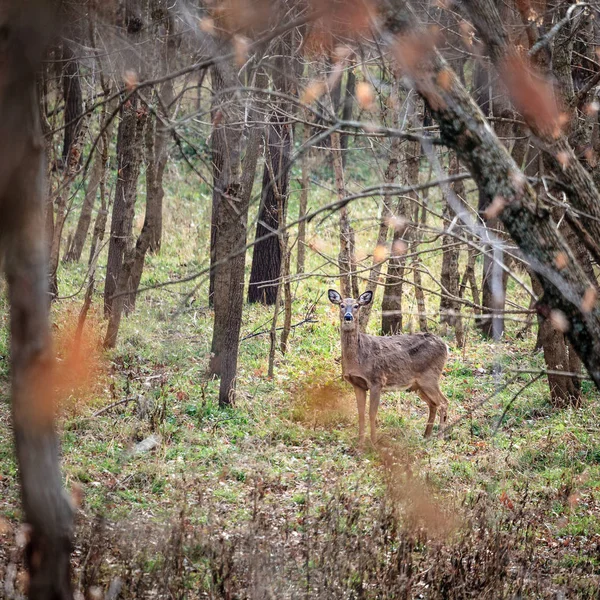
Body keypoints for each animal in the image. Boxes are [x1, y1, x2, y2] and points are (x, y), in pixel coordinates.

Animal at [328, 290, 450, 446]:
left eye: (356, 305)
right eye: (341, 305)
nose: (348, 316)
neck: (358, 359)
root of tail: (445, 346)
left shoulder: (377, 381)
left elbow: (372, 413)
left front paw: (374, 442)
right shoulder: (358, 384)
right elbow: (360, 414)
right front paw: (360, 442)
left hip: (430, 377)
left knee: (443, 403)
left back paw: (440, 438)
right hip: (418, 385)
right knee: (433, 404)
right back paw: (426, 436)